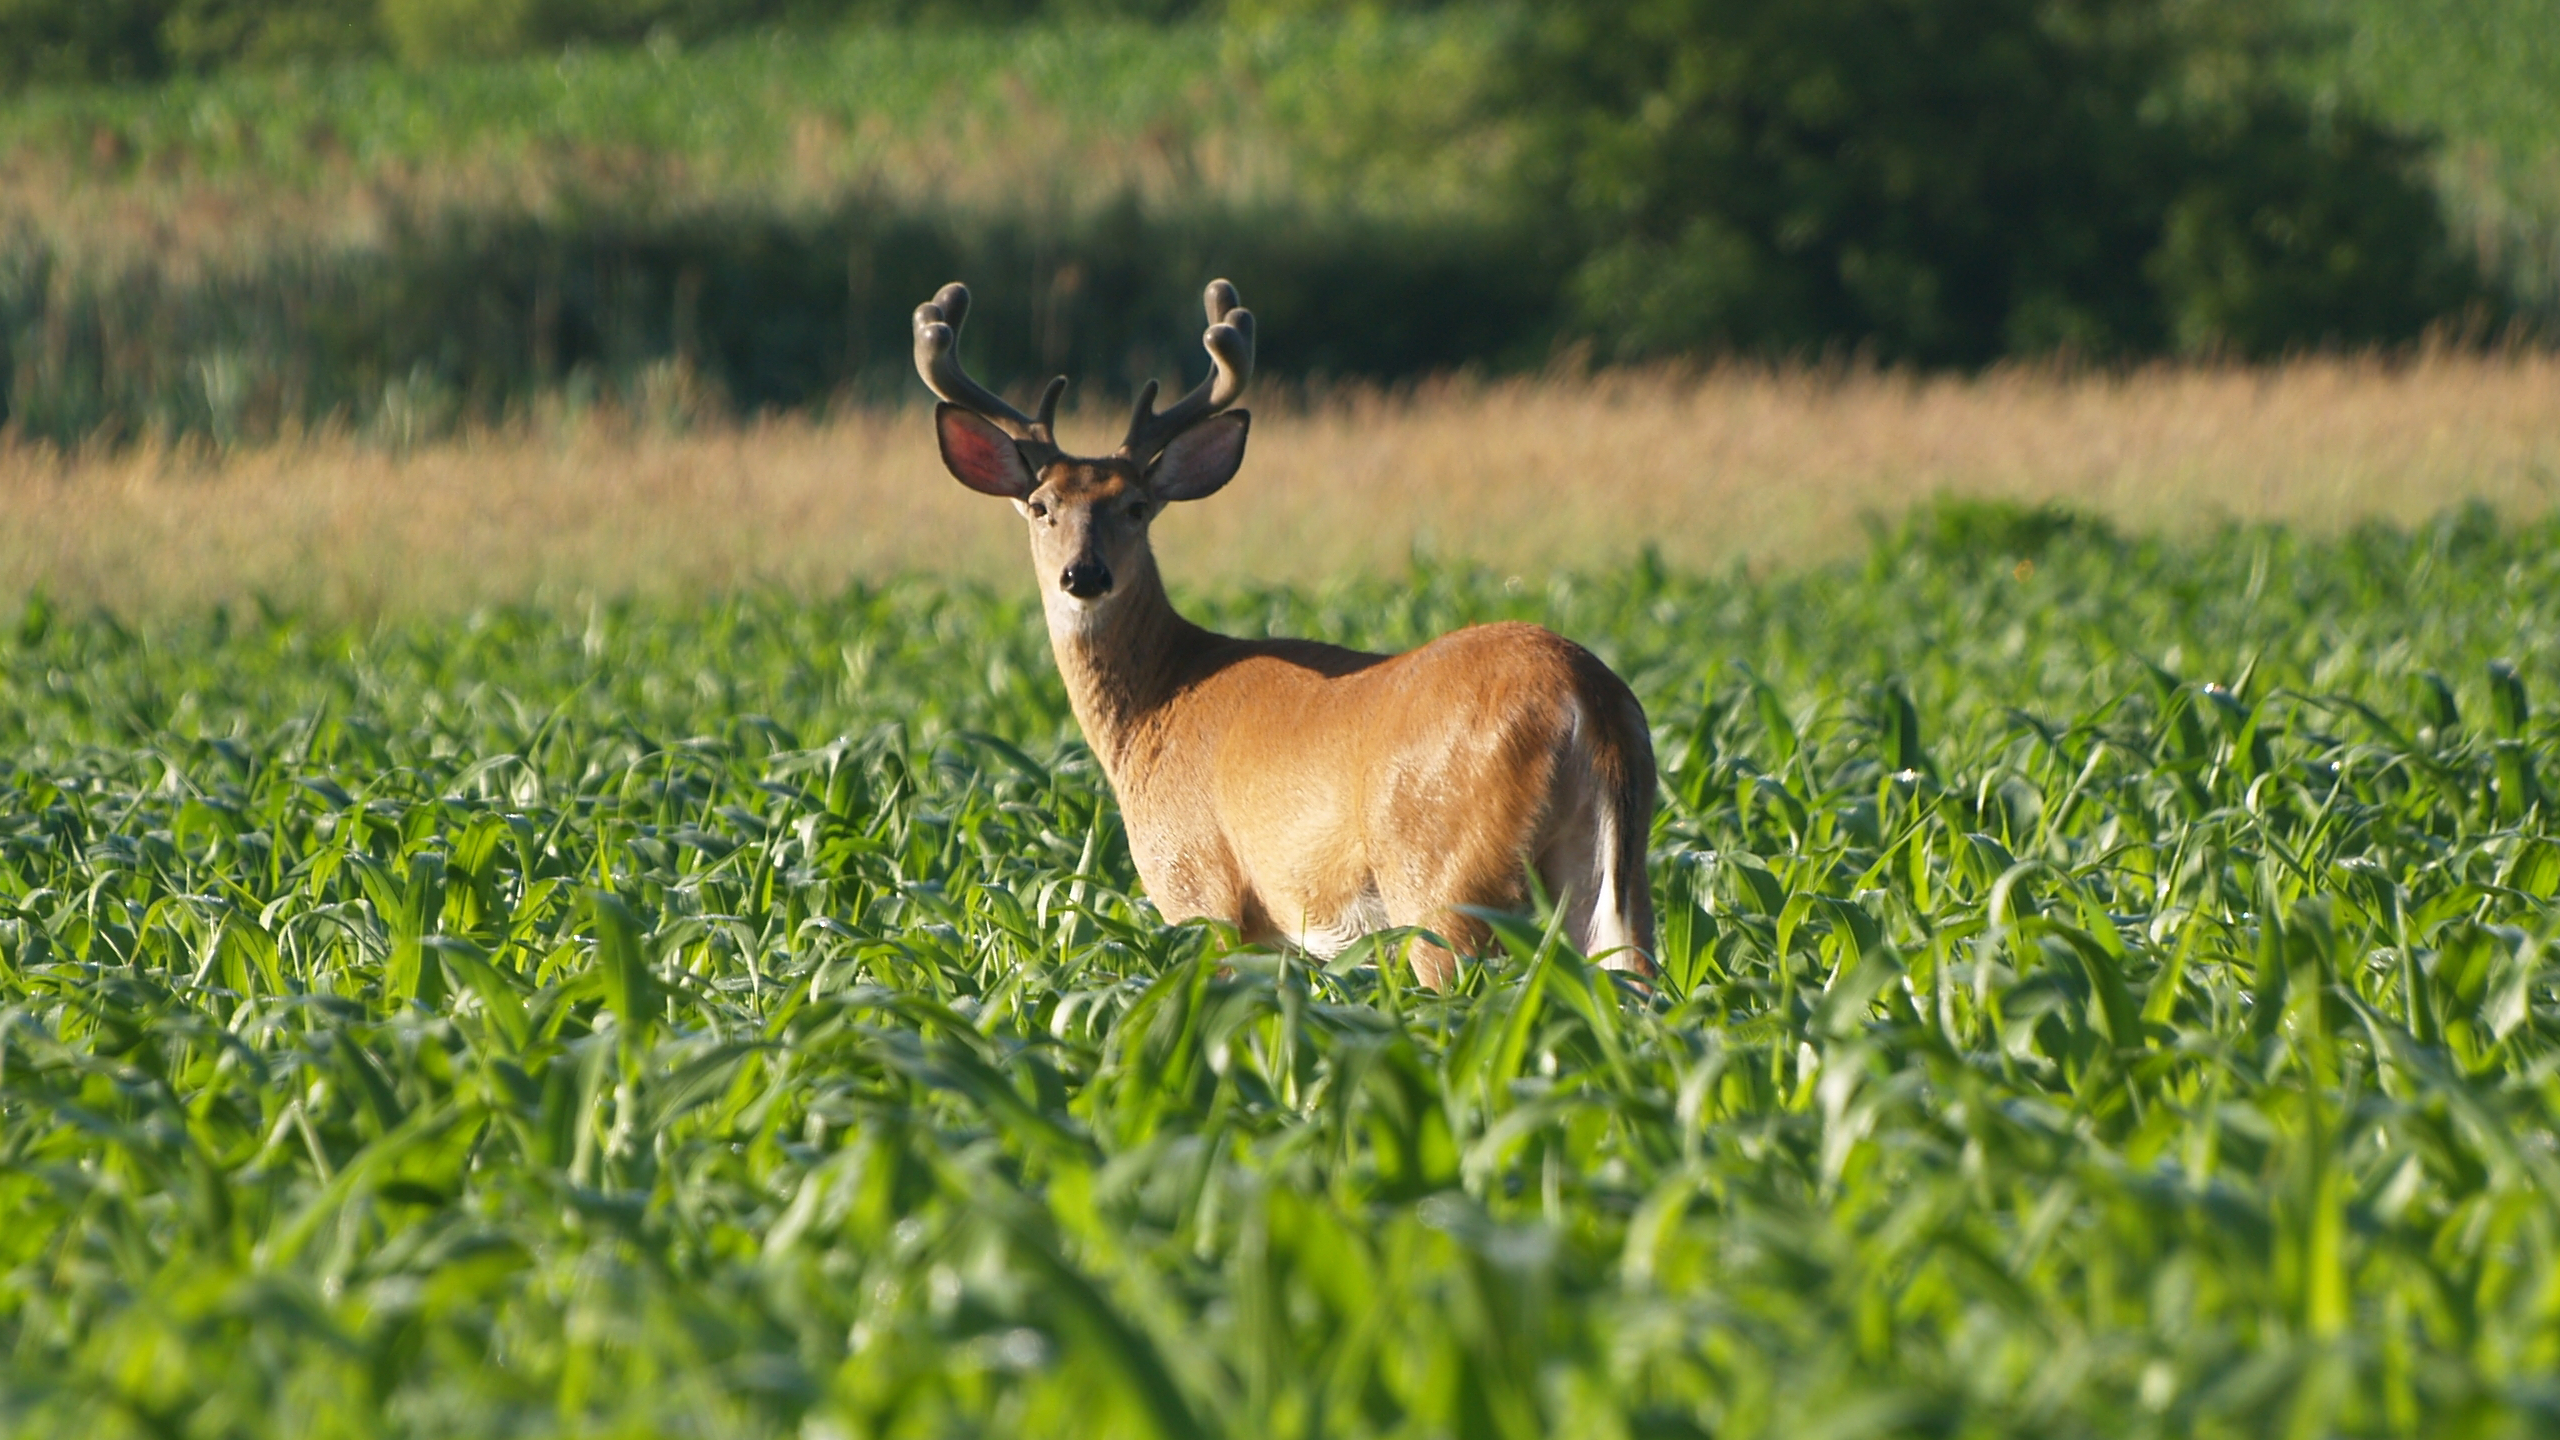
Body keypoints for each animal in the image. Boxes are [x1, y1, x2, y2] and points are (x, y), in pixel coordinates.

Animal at [915, 278, 1656, 989]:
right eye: (1043, 506)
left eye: (1135, 506)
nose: (1084, 574)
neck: (1157, 701)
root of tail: (1585, 693)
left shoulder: (1199, 889)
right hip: (1615, 870)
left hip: (1443, 881)